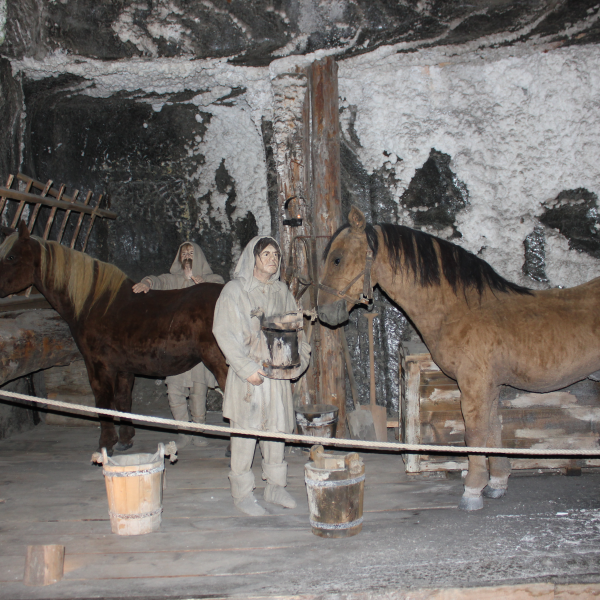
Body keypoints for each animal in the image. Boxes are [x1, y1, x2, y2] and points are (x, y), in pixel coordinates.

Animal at [0, 223, 227, 452]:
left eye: (11, 256)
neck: (95, 303)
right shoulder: (124, 367)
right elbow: (123, 400)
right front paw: (125, 439)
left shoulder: (98, 365)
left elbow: (104, 402)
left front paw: (106, 443)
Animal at [318, 207, 600, 510]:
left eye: (337, 258)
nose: (323, 312)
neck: (462, 309)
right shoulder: (490, 387)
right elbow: (493, 430)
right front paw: (497, 483)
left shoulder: (474, 385)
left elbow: (475, 433)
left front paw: (473, 490)